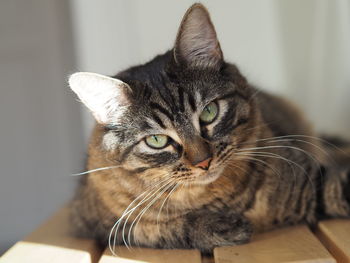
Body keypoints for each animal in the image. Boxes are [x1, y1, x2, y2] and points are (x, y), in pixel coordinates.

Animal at [67, 2, 348, 256]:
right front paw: (219, 226)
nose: (203, 162)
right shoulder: (98, 223)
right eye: (157, 140)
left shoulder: (314, 180)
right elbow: (155, 227)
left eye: (209, 112)